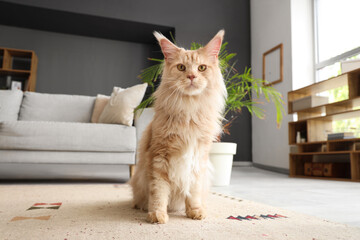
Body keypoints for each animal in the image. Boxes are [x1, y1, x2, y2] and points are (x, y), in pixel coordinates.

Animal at [129, 29, 225, 223]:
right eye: (181, 67)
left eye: (201, 68)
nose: (191, 76)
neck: (189, 111)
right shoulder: (159, 157)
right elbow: (159, 192)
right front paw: (157, 215)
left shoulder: (197, 158)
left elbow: (193, 191)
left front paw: (195, 211)